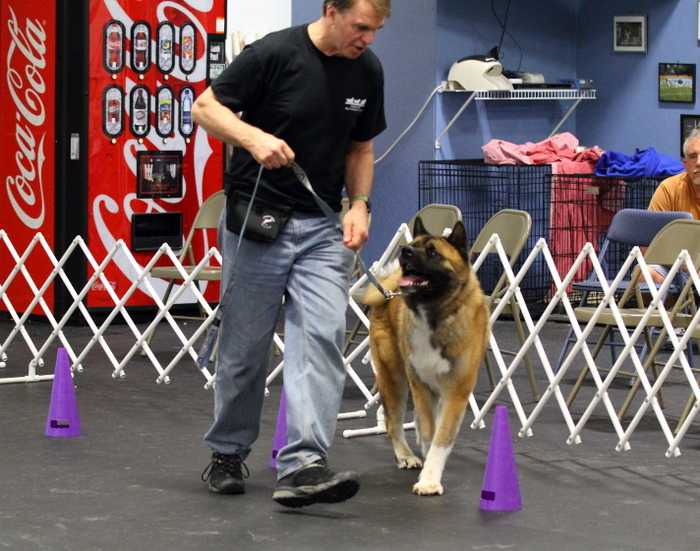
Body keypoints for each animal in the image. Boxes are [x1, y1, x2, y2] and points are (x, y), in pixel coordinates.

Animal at [364, 217, 490, 496]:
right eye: (413, 245)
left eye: (433, 253)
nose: (405, 251)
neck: (435, 314)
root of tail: (387, 294)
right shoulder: (421, 386)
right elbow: (431, 433)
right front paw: (427, 475)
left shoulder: (455, 392)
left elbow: (441, 438)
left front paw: (430, 479)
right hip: (394, 378)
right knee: (393, 423)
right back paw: (406, 455)